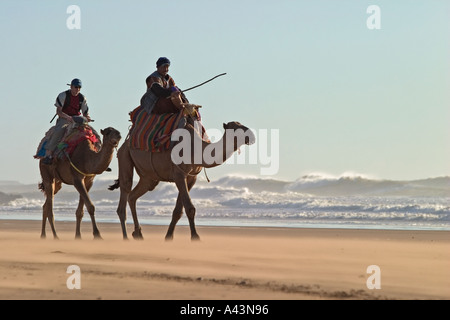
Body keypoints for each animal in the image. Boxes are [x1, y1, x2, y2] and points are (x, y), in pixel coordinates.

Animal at [109, 117, 255, 240]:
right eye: (235, 129)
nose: (252, 136)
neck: (196, 149)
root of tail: (124, 143)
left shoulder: (191, 178)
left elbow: (178, 211)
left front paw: (169, 237)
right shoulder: (179, 174)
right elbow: (189, 208)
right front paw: (195, 237)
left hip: (148, 178)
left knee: (133, 195)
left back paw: (138, 233)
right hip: (124, 156)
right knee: (126, 189)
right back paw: (126, 237)